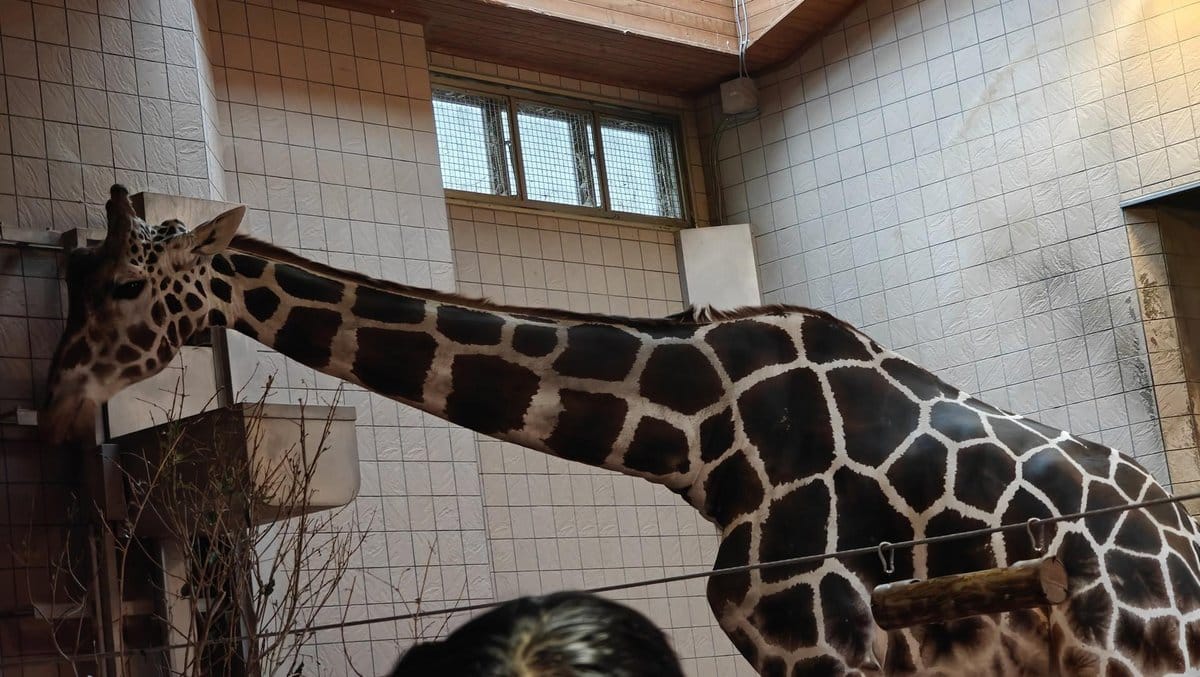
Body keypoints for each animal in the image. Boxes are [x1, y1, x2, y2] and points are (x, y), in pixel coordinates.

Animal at [43, 185, 1200, 676]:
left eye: (127, 282)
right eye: (72, 275)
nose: (52, 397)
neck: (705, 434)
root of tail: (1179, 539)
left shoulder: (822, 636)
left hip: (1134, 646)